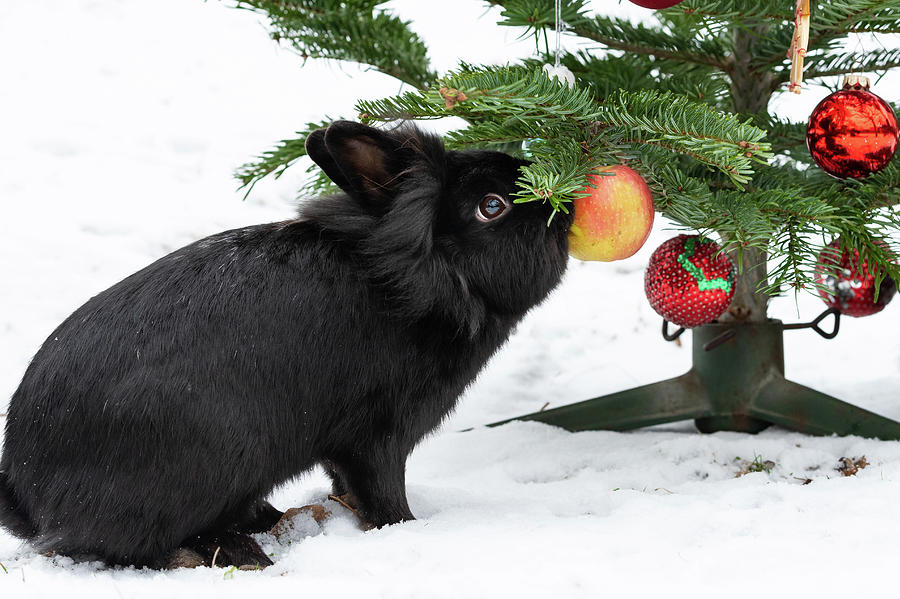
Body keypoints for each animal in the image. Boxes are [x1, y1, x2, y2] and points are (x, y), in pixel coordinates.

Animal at [0, 121, 573, 568]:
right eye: (492, 206)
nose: (565, 206)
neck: (426, 274)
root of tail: (29, 498)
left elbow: (344, 483)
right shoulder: (378, 436)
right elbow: (381, 488)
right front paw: (407, 528)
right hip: (214, 459)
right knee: (121, 545)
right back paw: (232, 552)